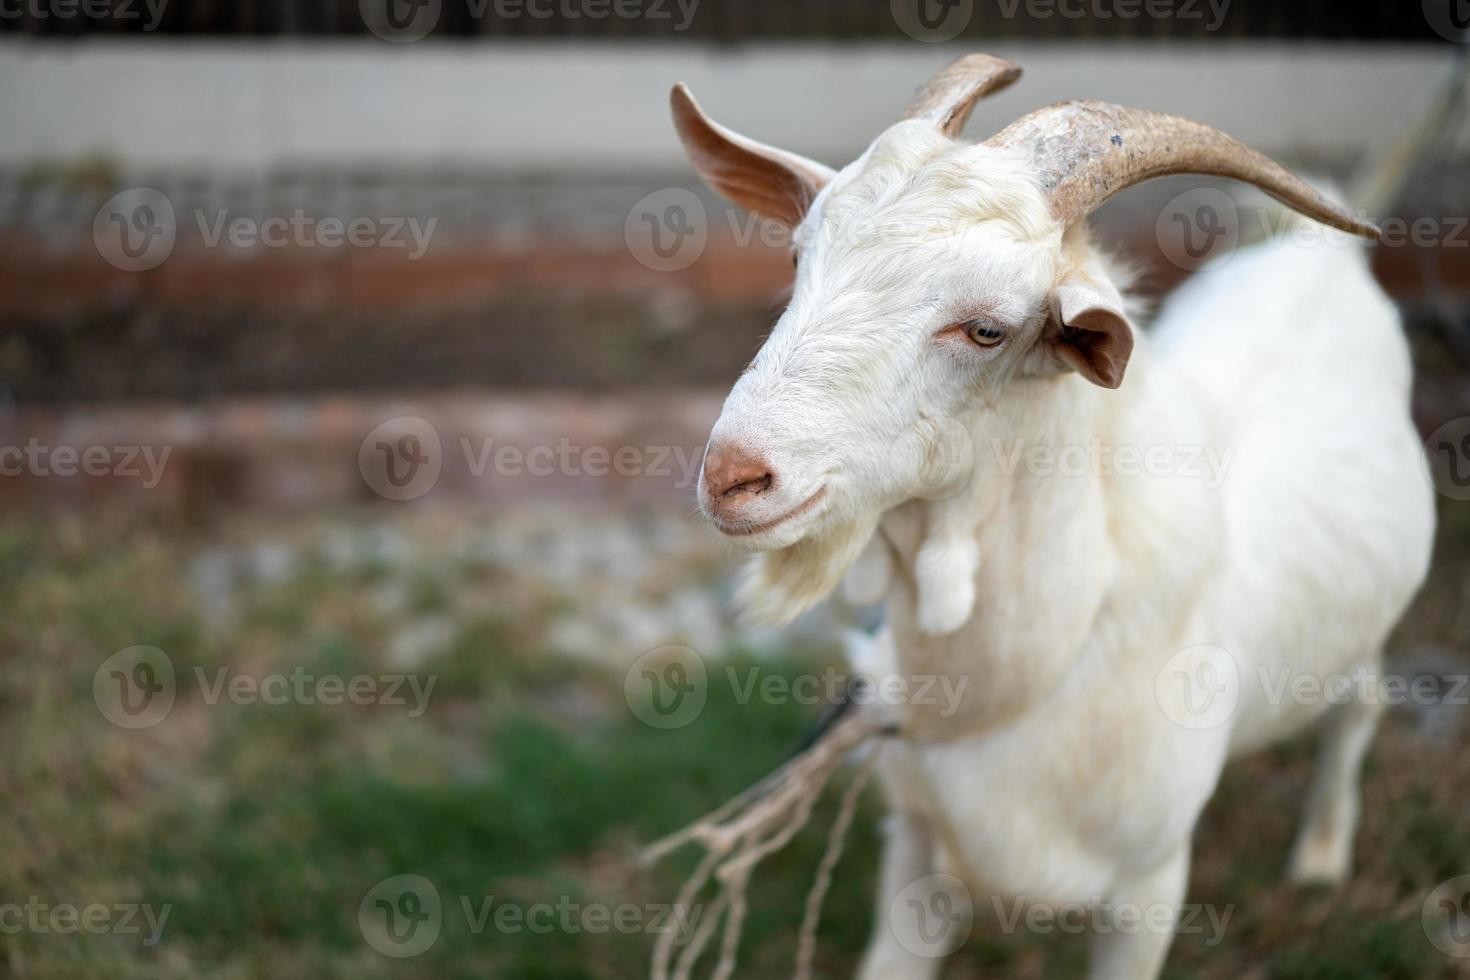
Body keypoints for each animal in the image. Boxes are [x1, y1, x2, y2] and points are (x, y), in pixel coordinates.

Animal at [676, 55, 1434, 980]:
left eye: (987, 329)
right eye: (796, 254)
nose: (733, 475)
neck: (1038, 668)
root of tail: (1320, 262)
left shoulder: (1150, 883)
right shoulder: (917, 840)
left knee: (1361, 701)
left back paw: (1321, 857)